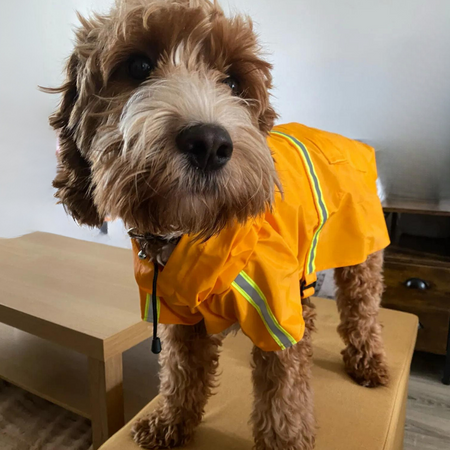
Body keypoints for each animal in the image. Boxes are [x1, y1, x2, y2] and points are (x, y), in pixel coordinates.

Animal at [45, 1, 390, 449]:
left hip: (361, 254)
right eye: (138, 65)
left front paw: (285, 440)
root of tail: (356, 143)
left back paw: (368, 363)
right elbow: (180, 376)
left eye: (233, 81)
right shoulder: (179, 315)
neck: (190, 234)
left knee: (361, 310)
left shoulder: (274, 312)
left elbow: (284, 399)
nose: (209, 143)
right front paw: (170, 423)